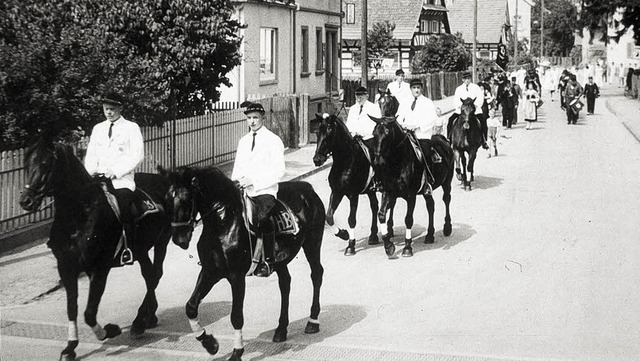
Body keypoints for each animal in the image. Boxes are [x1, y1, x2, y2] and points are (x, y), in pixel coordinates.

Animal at [18, 136, 171, 358]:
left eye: (46, 163)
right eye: (26, 163)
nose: (26, 201)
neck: (79, 214)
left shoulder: (99, 268)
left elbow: (89, 313)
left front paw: (109, 331)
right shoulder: (67, 268)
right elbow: (72, 308)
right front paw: (70, 347)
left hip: (162, 241)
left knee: (155, 274)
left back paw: (140, 322)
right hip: (141, 250)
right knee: (149, 275)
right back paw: (148, 317)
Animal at [158, 166, 322, 360]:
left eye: (186, 198)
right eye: (167, 199)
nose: (179, 239)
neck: (223, 223)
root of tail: (307, 188)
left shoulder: (236, 276)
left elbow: (236, 316)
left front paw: (237, 352)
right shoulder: (209, 271)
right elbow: (191, 307)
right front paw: (210, 343)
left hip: (312, 244)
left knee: (316, 275)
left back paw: (312, 321)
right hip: (281, 261)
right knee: (285, 284)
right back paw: (281, 330)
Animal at [312, 111, 392, 255]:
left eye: (329, 133)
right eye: (317, 132)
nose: (317, 159)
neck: (346, 161)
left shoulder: (353, 195)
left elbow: (351, 220)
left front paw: (351, 245)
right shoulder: (337, 192)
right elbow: (329, 217)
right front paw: (343, 234)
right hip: (370, 191)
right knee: (374, 206)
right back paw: (373, 236)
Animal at [370, 91, 456, 258]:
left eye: (387, 134)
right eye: (374, 133)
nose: (377, 162)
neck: (398, 161)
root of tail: (442, 139)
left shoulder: (410, 195)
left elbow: (408, 219)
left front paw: (407, 247)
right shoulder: (387, 192)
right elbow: (382, 214)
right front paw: (388, 245)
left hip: (446, 182)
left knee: (446, 200)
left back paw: (447, 227)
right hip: (427, 190)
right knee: (431, 206)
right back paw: (430, 235)